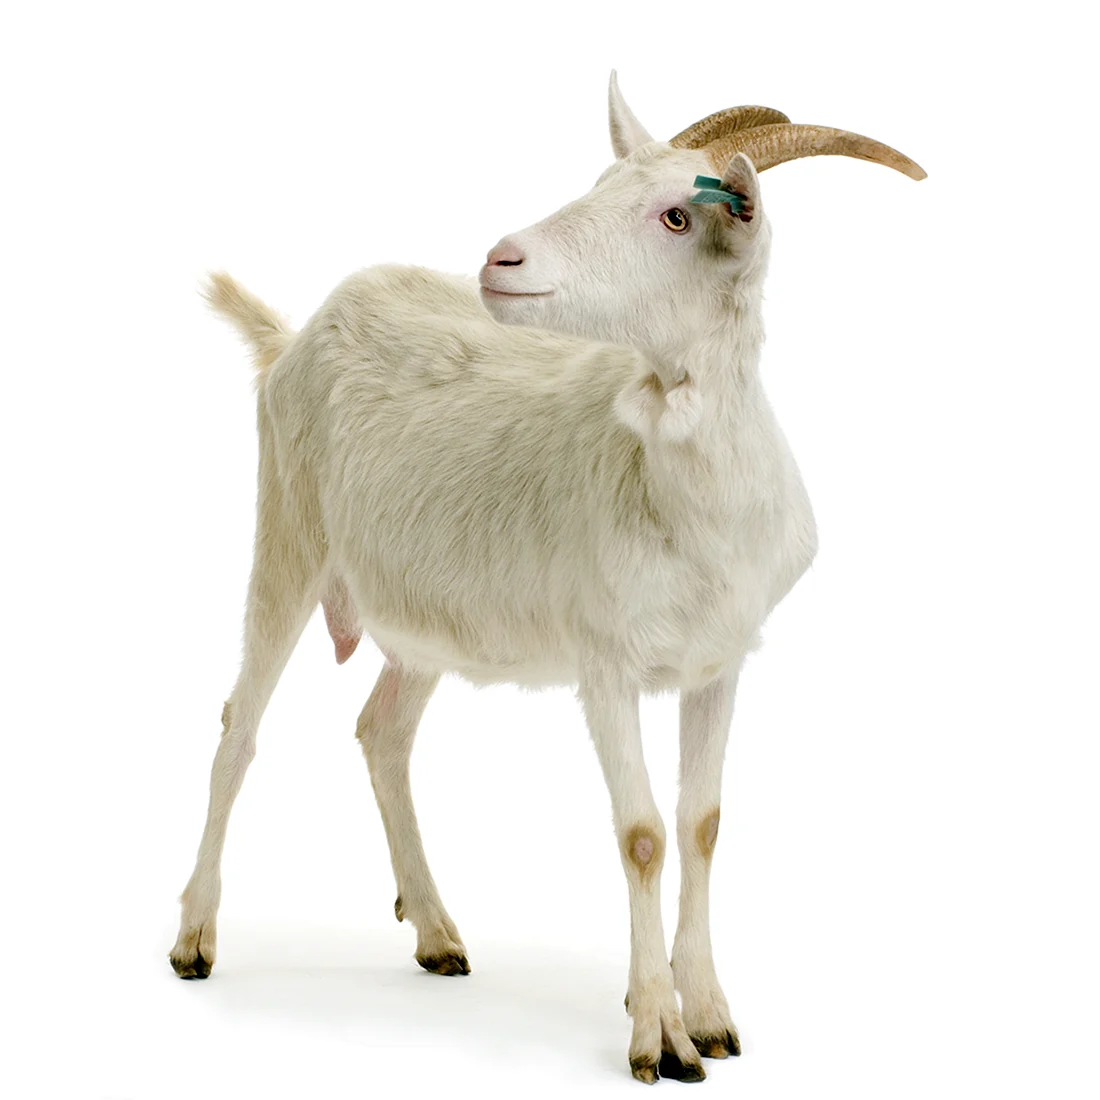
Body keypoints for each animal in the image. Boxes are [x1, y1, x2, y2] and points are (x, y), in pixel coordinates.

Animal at [170, 74, 924, 1083]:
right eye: (600, 181)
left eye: (678, 214)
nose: (502, 257)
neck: (676, 487)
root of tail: (298, 331)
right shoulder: (605, 664)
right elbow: (642, 835)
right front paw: (658, 1036)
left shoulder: (721, 662)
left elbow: (701, 823)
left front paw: (711, 1014)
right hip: (287, 531)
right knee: (240, 725)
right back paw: (195, 938)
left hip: (423, 609)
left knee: (382, 732)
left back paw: (436, 932)